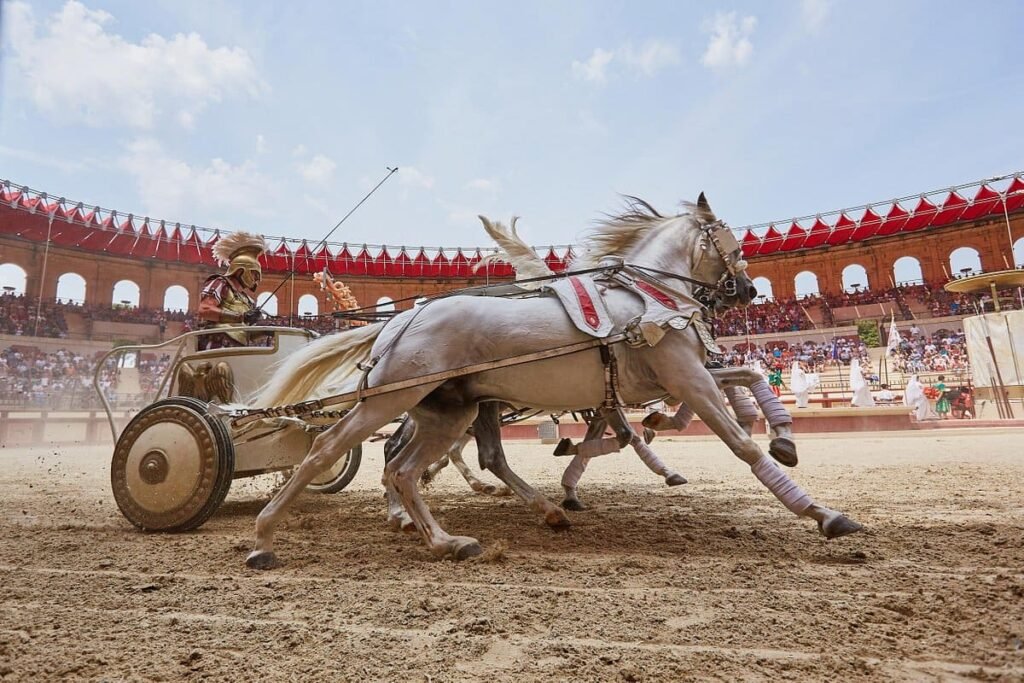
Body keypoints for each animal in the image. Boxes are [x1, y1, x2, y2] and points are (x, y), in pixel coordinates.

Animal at [247, 196, 864, 565]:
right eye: (730, 238)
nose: (749, 291)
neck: (646, 298)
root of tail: (400, 320)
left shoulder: (662, 382)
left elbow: (746, 376)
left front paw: (783, 435)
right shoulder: (685, 376)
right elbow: (738, 441)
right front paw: (823, 513)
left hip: (448, 411)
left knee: (406, 467)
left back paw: (449, 538)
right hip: (392, 401)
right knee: (330, 449)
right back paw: (264, 535)